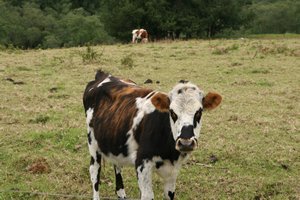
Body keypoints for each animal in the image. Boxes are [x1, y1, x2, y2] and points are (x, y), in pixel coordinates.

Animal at [83, 70, 221, 198]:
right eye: (172, 112)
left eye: (199, 112)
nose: (185, 142)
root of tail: (103, 75)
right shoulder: (142, 164)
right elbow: (147, 195)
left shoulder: (173, 170)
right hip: (93, 145)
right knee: (94, 173)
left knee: (117, 166)